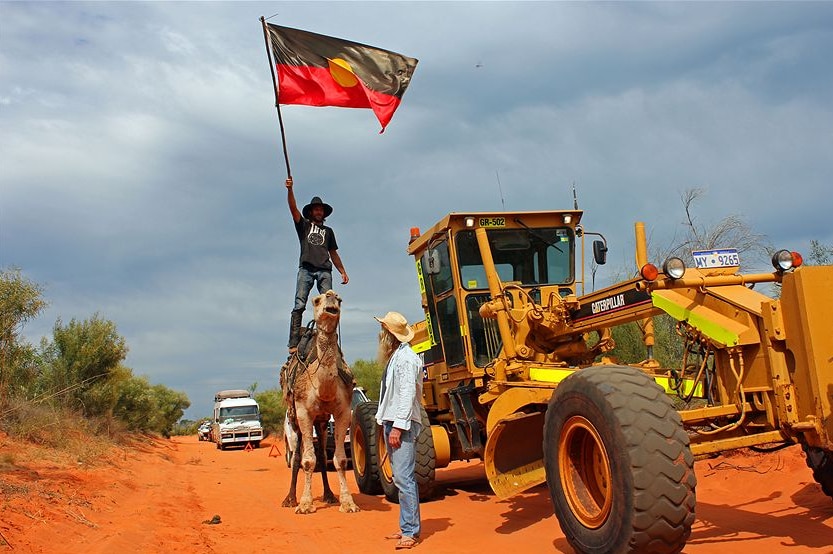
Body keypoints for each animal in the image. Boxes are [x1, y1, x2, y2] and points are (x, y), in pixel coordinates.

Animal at [280, 288, 358, 512]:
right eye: (316, 300)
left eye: (340, 299)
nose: (331, 296)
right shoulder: (304, 413)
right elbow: (307, 460)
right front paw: (305, 504)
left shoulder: (342, 411)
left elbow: (340, 460)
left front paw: (348, 503)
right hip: (295, 420)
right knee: (297, 456)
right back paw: (290, 499)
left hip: (321, 422)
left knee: (323, 454)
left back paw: (329, 496)